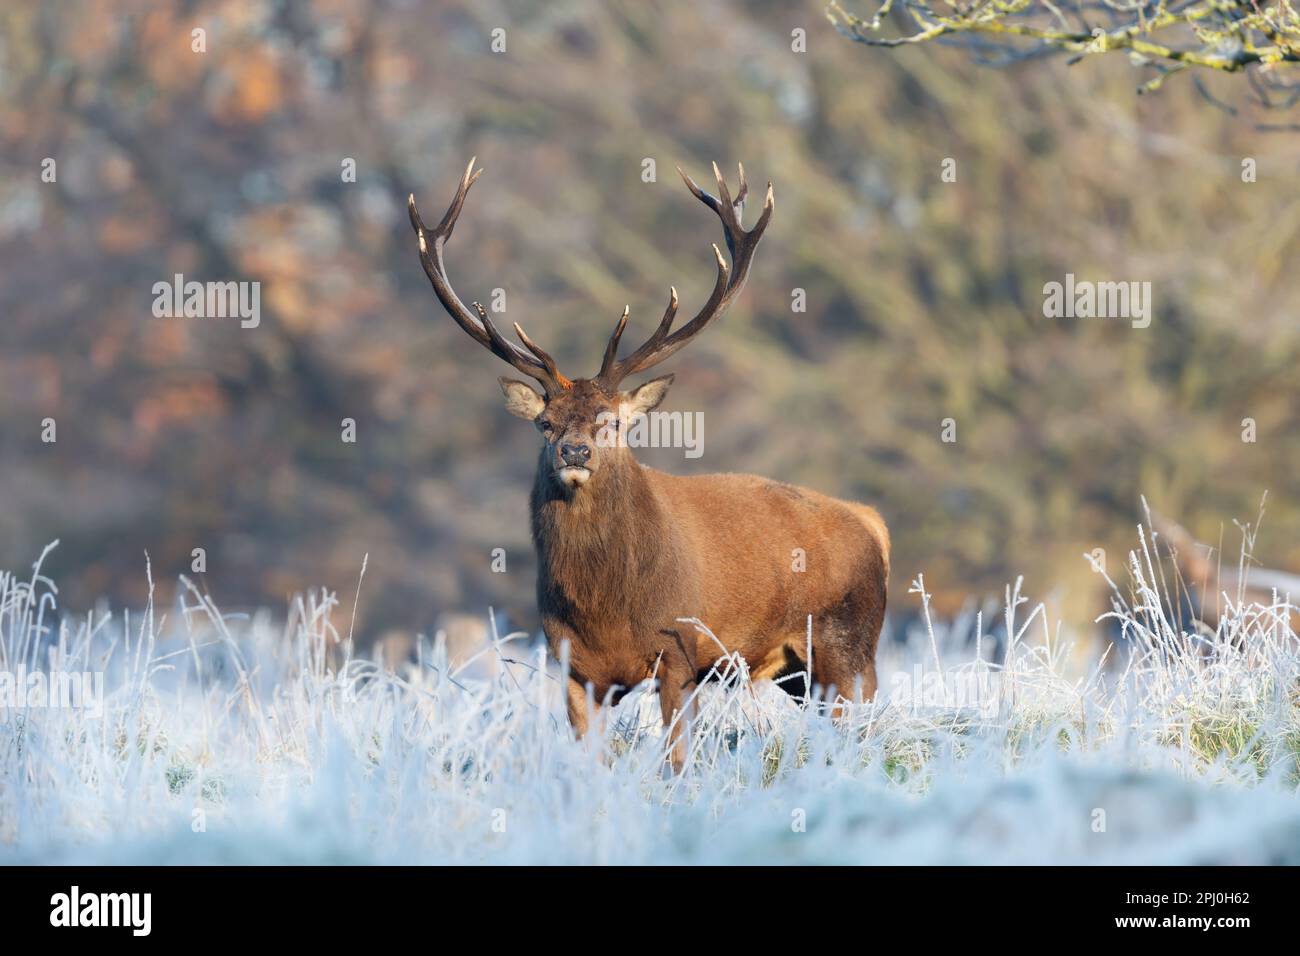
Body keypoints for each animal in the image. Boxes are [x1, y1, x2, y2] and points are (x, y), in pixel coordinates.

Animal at [409, 158, 890, 770]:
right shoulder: (572, 665)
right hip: (799, 673)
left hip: (848, 644)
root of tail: (873, 522)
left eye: (614, 422)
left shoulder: (680, 651)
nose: (575, 451)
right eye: (546, 423)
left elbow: (676, 761)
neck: (605, 609)